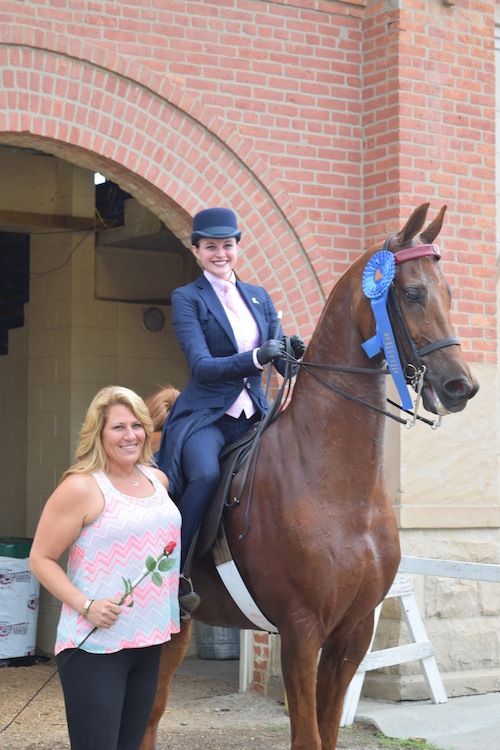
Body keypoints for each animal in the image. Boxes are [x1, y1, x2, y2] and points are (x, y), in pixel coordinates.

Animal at [143, 206, 478, 750]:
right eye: (411, 293)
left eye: (448, 292)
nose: (459, 387)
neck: (339, 488)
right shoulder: (302, 633)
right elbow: (308, 736)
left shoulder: (352, 635)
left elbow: (328, 730)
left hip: (180, 623)